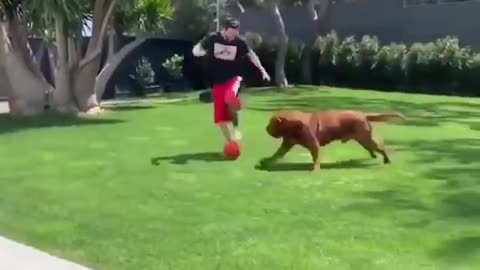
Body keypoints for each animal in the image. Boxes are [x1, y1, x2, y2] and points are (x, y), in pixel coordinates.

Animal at [258, 109, 404, 171]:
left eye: (271, 123)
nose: (265, 128)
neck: (293, 125)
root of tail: (363, 114)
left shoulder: (314, 145)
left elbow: (316, 158)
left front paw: (315, 169)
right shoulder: (287, 143)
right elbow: (276, 154)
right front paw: (265, 162)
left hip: (365, 138)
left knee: (381, 148)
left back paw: (386, 159)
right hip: (363, 139)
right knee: (374, 148)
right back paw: (374, 156)